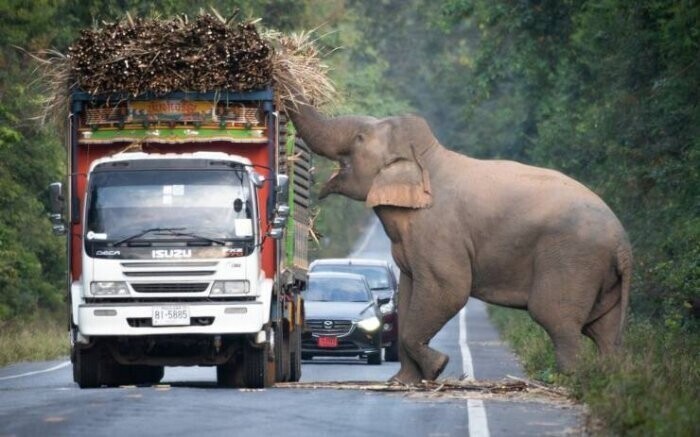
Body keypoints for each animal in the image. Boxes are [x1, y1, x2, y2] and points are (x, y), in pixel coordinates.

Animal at [284, 100, 636, 384]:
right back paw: (605, 381)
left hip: (572, 261)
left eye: (359, 138)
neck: (427, 158)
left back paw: (566, 383)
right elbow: (409, 293)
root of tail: (623, 242)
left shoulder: (438, 230)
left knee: (557, 319)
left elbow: (448, 290)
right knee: (602, 331)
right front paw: (402, 382)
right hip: (601, 277)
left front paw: (438, 367)